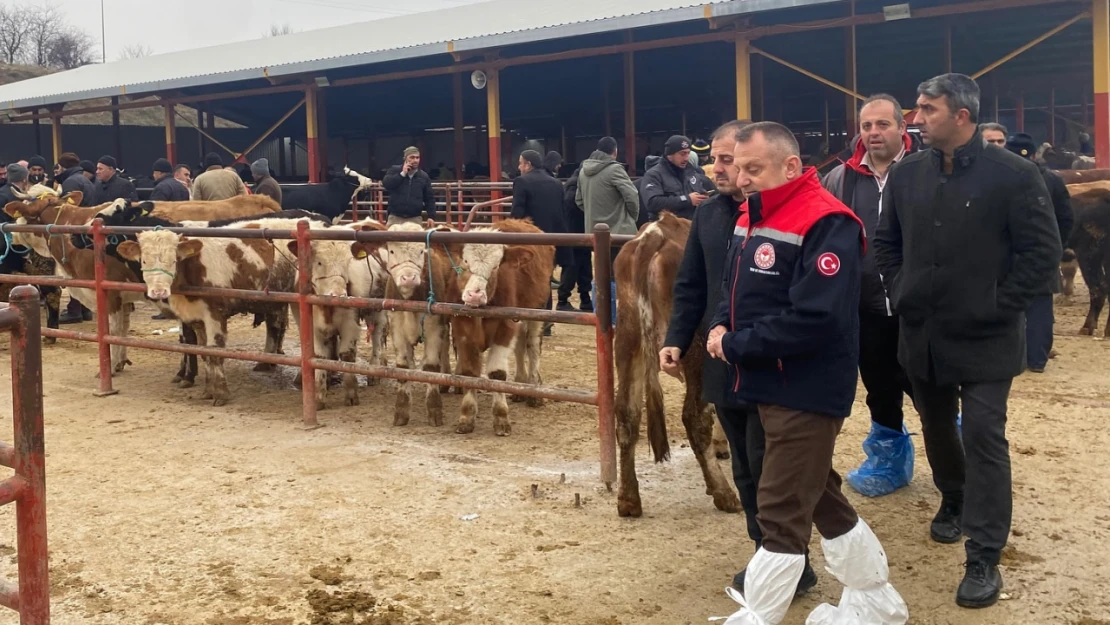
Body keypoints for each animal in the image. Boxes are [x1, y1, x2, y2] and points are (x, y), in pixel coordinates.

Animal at [117, 218, 324, 406]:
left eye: (173, 260)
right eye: (143, 260)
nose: (158, 292)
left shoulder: (215, 313)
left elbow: (215, 352)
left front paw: (221, 394)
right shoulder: (196, 318)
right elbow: (204, 352)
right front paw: (208, 391)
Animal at [288, 217, 392, 412]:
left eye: (348, 262)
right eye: (319, 262)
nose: (338, 294)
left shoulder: (350, 324)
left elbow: (347, 355)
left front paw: (351, 394)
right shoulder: (311, 326)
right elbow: (318, 357)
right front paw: (319, 397)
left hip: (377, 308)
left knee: (377, 334)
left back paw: (375, 368)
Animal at [612, 215, 741, 519]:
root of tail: (655, 233)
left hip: (628, 340)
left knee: (626, 413)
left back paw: (629, 499)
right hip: (696, 352)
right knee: (694, 417)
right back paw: (724, 493)